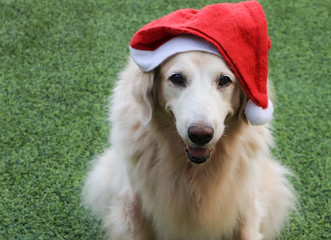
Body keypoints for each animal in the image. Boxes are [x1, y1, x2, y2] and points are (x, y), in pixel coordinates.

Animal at [83, 51, 296, 239]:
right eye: (177, 78)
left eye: (224, 80)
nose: (200, 135)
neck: (193, 170)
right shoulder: (133, 204)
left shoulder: (246, 203)